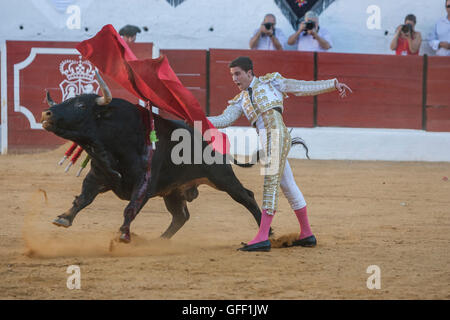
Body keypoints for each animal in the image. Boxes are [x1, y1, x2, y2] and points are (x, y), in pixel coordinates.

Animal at [39, 91, 264, 241]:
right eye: (66, 101)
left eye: (81, 106)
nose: (46, 114)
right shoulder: (97, 176)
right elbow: (83, 198)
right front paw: (63, 218)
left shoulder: (145, 182)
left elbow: (131, 207)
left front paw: (123, 233)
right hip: (174, 192)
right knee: (181, 216)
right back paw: (160, 241)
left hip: (221, 177)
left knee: (246, 196)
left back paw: (265, 233)